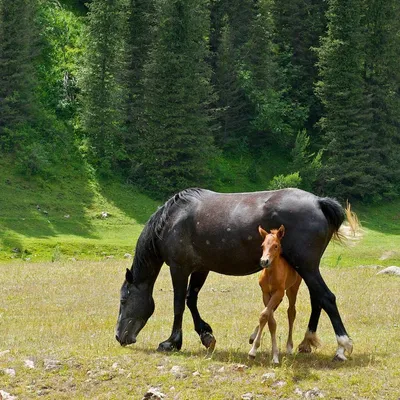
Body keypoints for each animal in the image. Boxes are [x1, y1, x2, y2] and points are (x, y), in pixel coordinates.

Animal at [115, 188, 354, 360]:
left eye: (124, 300)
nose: (119, 336)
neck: (173, 219)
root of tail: (319, 202)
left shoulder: (179, 268)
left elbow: (178, 305)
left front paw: (172, 342)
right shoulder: (201, 268)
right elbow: (191, 300)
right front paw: (206, 336)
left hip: (306, 267)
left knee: (326, 298)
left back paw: (342, 346)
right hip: (305, 269)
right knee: (317, 300)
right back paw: (306, 342)